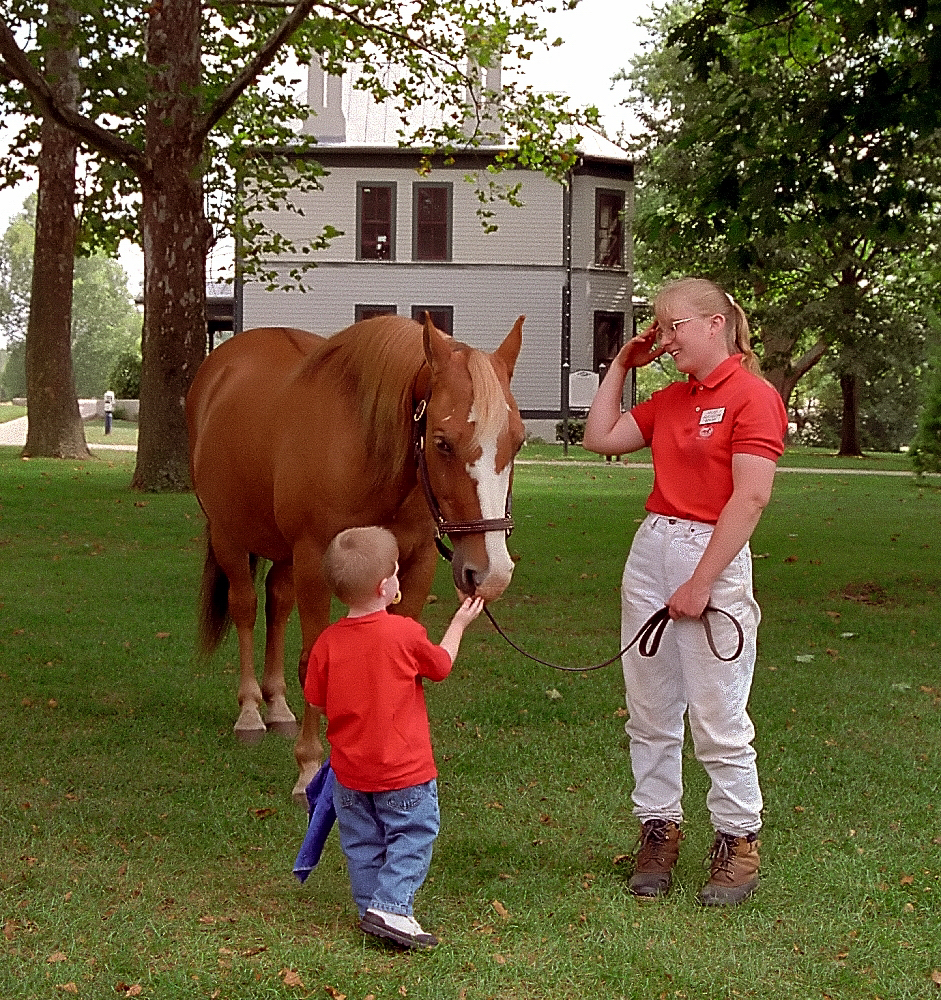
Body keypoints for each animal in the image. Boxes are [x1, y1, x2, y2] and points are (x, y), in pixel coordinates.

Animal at [186, 313, 525, 799]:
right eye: (442, 442)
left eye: (517, 442)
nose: (492, 572)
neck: (369, 449)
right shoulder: (313, 560)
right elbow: (311, 659)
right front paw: (309, 767)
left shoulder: (415, 564)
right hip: (230, 538)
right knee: (246, 608)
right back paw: (250, 712)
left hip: (283, 554)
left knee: (276, 604)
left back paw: (277, 707)